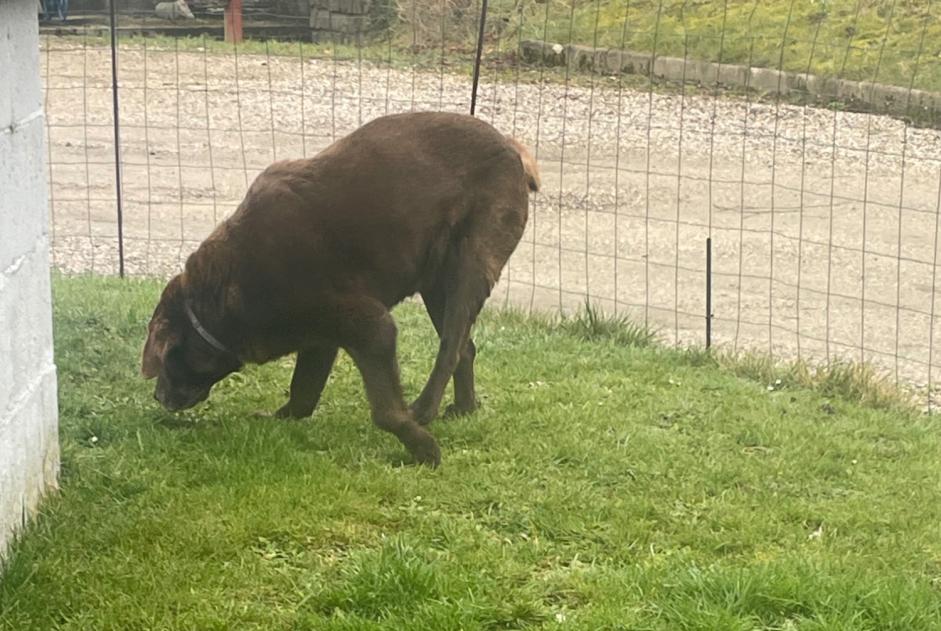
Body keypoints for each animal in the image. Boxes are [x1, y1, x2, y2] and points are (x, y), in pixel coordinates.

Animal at [139, 111, 536, 466]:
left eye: (165, 362)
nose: (158, 397)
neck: (223, 295)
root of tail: (511, 148)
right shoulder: (321, 336)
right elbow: (303, 393)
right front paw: (279, 418)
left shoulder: (370, 327)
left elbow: (385, 412)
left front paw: (424, 450)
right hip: (437, 282)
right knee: (465, 347)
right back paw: (464, 409)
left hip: (469, 264)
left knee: (451, 349)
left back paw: (423, 410)